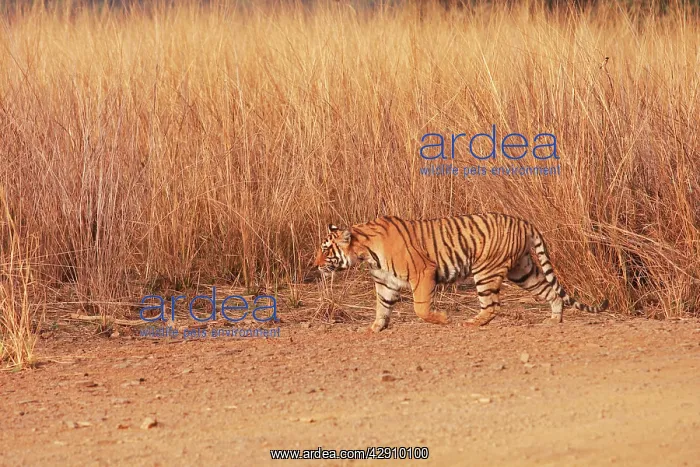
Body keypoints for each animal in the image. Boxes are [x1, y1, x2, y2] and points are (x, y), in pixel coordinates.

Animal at [313, 212, 608, 332]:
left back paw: (471, 323)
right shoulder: (386, 283)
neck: (366, 252)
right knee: (551, 292)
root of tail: (525, 222)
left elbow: (420, 308)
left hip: (486, 270)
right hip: (523, 271)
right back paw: (554, 320)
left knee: (493, 305)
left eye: (326, 250)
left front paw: (442, 319)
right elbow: (381, 307)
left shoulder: (423, 273)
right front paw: (374, 328)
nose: (315, 265)